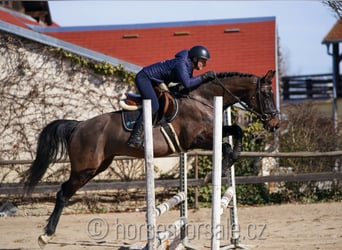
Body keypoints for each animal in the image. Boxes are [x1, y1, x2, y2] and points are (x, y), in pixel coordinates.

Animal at [21, 69, 280, 245]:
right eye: (267, 94)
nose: (276, 124)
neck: (205, 99)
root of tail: (78, 126)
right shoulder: (196, 140)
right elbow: (226, 144)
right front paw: (215, 172)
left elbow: (237, 131)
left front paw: (229, 162)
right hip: (85, 168)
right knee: (63, 192)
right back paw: (46, 235)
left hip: (99, 166)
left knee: (66, 191)